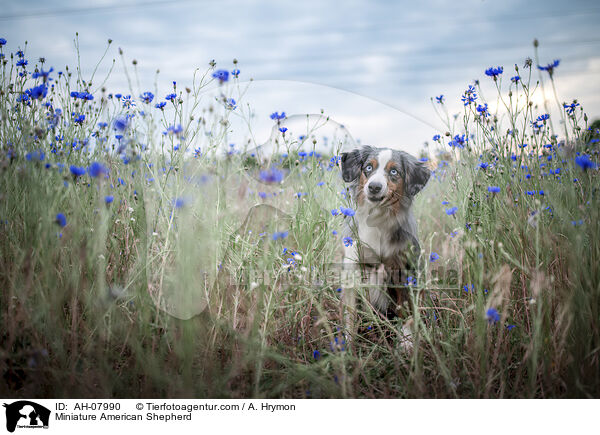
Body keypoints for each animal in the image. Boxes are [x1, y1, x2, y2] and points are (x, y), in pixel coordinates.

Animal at [340, 145, 428, 338]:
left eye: (394, 171)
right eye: (368, 167)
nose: (374, 187)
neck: (377, 220)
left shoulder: (403, 270)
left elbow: (406, 314)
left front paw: (406, 341)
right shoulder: (353, 269)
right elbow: (349, 318)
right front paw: (346, 344)